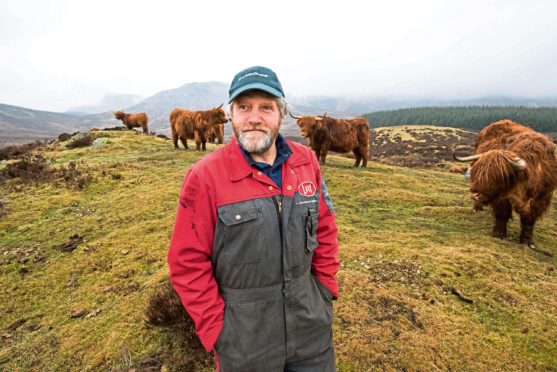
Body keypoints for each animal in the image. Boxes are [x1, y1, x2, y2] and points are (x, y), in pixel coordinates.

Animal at [454, 118, 556, 247]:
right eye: (477, 172)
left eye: (499, 176)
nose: (474, 194)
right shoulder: (502, 198)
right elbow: (502, 214)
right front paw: (499, 235)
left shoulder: (541, 198)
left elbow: (529, 219)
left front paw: (527, 242)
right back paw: (477, 208)